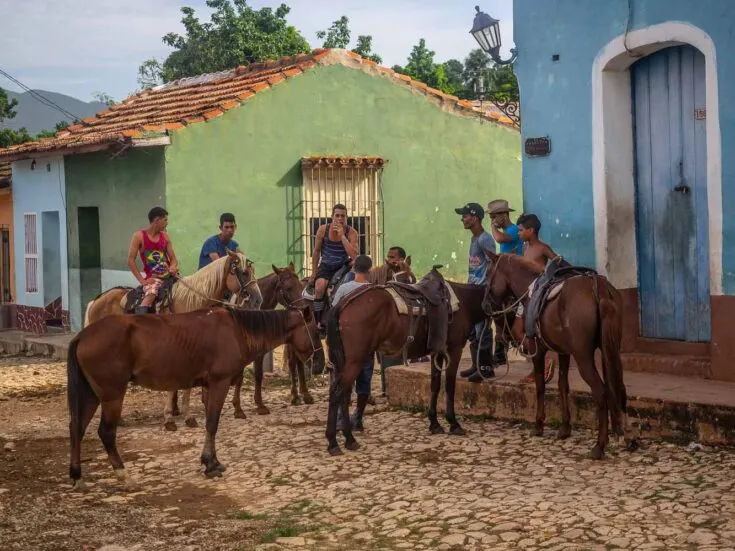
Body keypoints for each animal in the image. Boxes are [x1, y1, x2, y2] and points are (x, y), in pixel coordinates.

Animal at [68, 304, 320, 490]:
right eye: (316, 331)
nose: (318, 360)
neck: (236, 330)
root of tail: (82, 336)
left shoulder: (208, 387)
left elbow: (210, 422)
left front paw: (211, 460)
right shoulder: (219, 383)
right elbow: (212, 423)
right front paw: (210, 464)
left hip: (91, 395)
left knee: (77, 429)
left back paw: (77, 476)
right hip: (112, 396)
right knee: (106, 432)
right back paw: (123, 475)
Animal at [83, 252, 264, 434]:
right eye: (243, 272)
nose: (257, 299)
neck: (190, 302)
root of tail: (97, 301)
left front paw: (188, 418)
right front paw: (169, 419)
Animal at [324, 268, 486, 458]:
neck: (464, 302)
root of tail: (342, 303)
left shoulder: (436, 352)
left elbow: (435, 385)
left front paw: (434, 424)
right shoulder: (454, 349)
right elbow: (449, 386)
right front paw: (453, 424)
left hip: (343, 362)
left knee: (343, 393)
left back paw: (346, 438)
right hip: (355, 360)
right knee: (338, 392)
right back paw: (337, 442)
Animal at [480, 252, 636, 460]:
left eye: (488, 273)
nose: (484, 305)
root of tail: (599, 288)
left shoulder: (537, 351)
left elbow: (540, 387)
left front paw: (538, 425)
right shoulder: (564, 352)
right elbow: (563, 386)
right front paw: (564, 428)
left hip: (583, 356)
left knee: (600, 391)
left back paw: (599, 446)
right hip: (609, 349)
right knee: (617, 386)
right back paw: (625, 436)